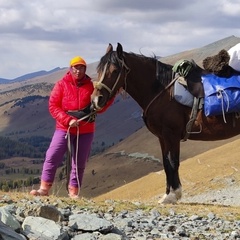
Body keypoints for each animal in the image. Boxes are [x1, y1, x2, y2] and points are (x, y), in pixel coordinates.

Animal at [90, 43, 240, 204]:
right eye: (98, 70)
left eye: (115, 70)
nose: (96, 100)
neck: (162, 91)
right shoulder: (162, 137)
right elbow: (166, 163)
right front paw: (167, 194)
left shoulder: (171, 134)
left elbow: (173, 162)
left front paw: (173, 194)